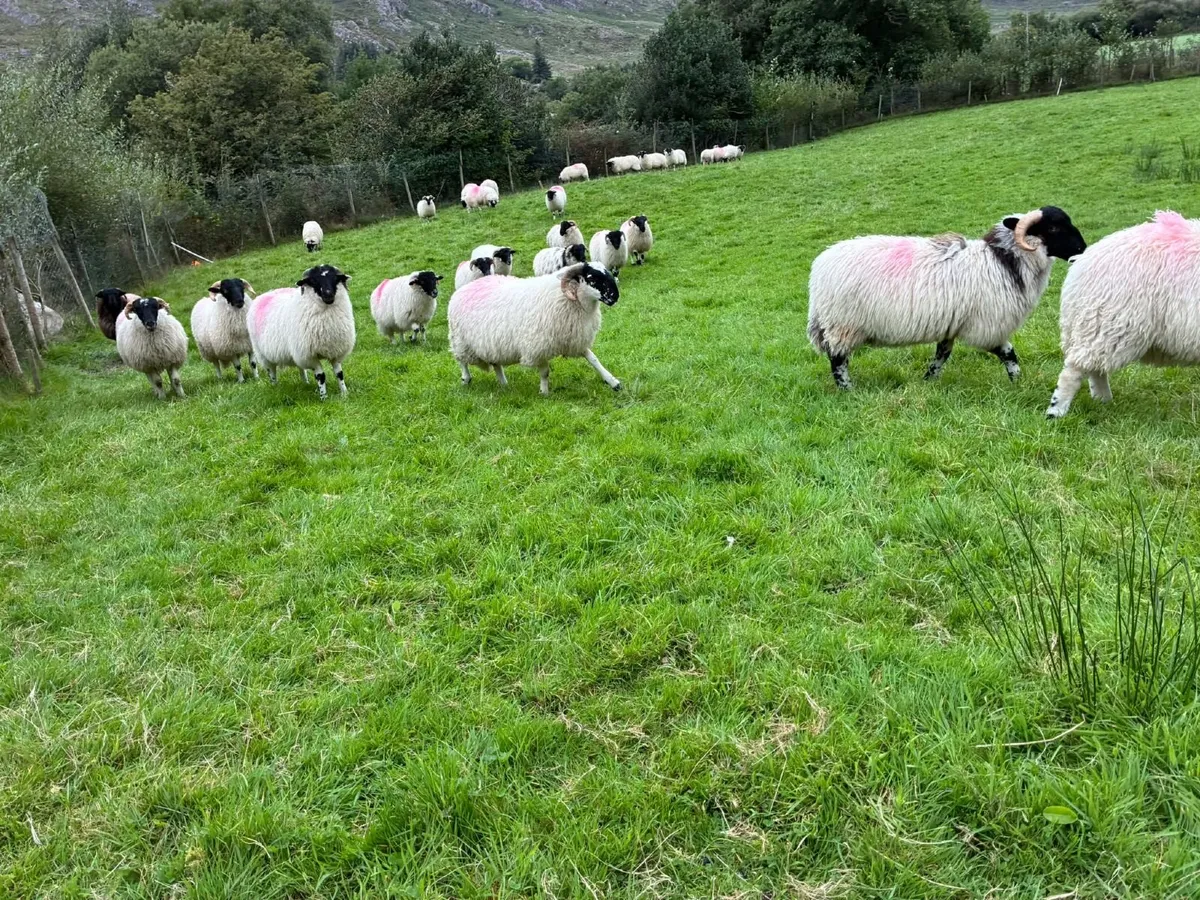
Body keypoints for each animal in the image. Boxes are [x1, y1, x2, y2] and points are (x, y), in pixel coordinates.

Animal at [248, 264, 356, 400]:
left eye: (335, 278)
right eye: (314, 281)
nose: (328, 295)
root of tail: (267, 293)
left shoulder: (335, 350)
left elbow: (339, 374)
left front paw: (344, 393)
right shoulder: (310, 355)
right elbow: (321, 376)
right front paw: (323, 397)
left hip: (296, 351)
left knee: (301, 368)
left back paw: (306, 383)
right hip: (263, 354)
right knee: (271, 371)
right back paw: (275, 387)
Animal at [448, 262, 622, 395]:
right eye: (592, 278)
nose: (615, 296)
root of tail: (463, 289)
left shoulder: (573, 339)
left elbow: (593, 359)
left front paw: (613, 382)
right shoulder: (539, 346)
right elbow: (545, 372)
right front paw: (544, 393)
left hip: (490, 343)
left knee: (496, 364)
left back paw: (504, 384)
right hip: (461, 340)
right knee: (461, 360)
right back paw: (466, 379)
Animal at [807, 207, 1087, 390]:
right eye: (1053, 227)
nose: (1083, 250)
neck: (1003, 261)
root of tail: (819, 268)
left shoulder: (951, 324)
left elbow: (942, 354)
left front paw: (928, 381)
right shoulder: (986, 325)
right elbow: (1008, 352)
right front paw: (1017, 381)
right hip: (843, 324)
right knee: (838, 359)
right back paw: (847, 390)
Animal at [1046, 211, 1200, 419]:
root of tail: (1082, 262)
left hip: (1098, 327)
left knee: (1095, 368)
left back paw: (1103, 401)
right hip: (1110, 323)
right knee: (1073, 371)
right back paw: (1056, 412)